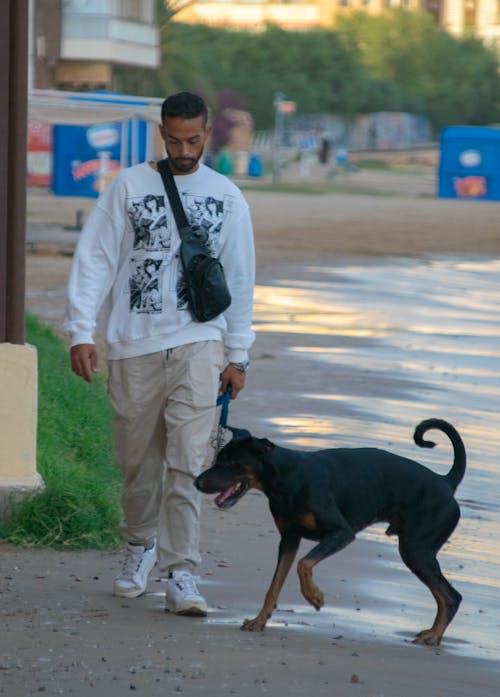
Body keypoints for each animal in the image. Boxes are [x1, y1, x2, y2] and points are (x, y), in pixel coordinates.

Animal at [194, 416, 464, 644]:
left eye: (232, 462)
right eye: (219, 458)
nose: (197, 482)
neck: (287, 477)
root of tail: (446, 482)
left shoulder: (341, 532)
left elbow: (304, 564)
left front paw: (314, 596)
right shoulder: (289, 538)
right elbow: (274, 586)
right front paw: (259, 621)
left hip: (416, 550)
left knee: (451, 596)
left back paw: (433, 636)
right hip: (416, 551)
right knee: (445, 595)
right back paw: (433, 633)